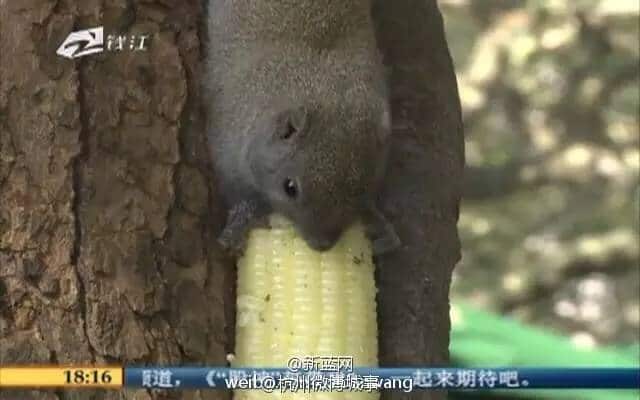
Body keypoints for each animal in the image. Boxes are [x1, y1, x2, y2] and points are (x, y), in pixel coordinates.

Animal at [205, 0, 400, 255]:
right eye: (290, 188)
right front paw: (242, 221)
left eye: (361, 189)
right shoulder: (226, 147)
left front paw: (378, 224)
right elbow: (237, 192)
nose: (321, 244)